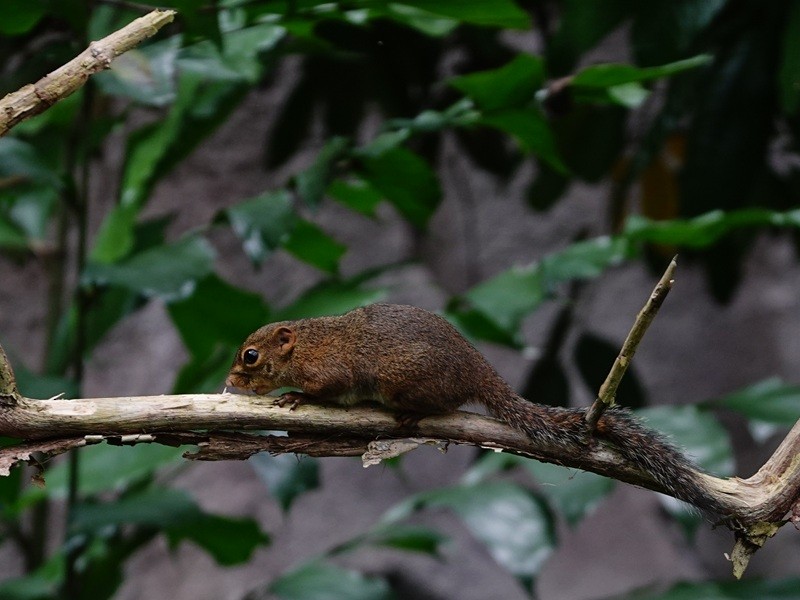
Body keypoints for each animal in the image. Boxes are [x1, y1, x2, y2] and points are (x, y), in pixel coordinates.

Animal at [226, 303, 728, 516]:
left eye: (250, 356)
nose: (230, 382)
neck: (306, 344)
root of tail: (477, 369)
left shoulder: (330, 370)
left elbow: (326, 390)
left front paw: (295, 397)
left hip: (401, 379)